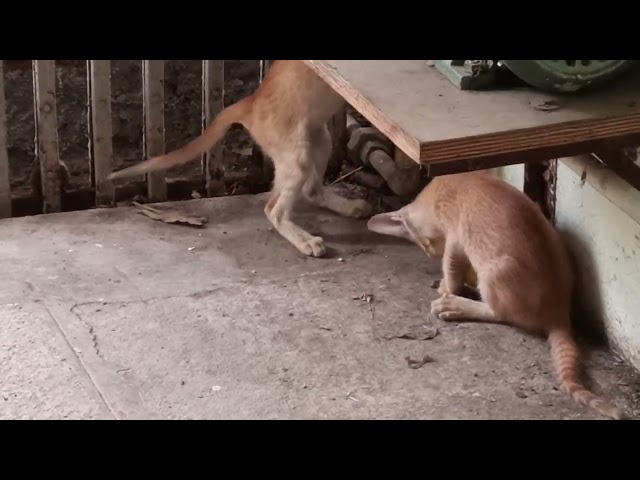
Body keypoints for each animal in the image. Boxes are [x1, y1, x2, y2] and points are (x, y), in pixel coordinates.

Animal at [107, 61, 372, 256]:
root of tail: (250, 103)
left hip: (320, 139)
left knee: (311, 190)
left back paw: (350, 207)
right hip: (297, 158)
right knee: (273, 209)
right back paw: (306, 241)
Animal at [368, 172, 624, 420]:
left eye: (424, 245)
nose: (429, 251)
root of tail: (559, 311)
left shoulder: (456, 236)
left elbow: (451, 266)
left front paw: (447, 287)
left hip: (494, 271)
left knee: (501, 313)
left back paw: (456, 305)